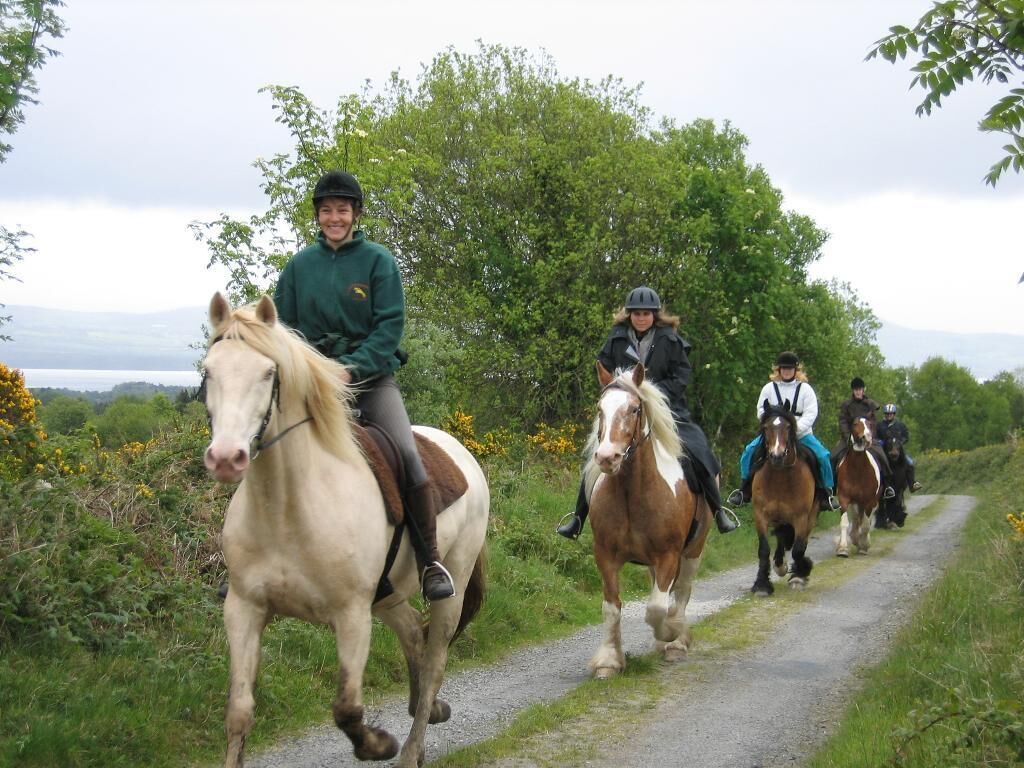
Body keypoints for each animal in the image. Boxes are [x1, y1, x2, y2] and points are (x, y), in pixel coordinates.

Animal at [201, 293, 489, 768]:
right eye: (209, 371)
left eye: (268, 373)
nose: (226, 458)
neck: (288, 508)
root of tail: (462, 454)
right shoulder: (243, 609)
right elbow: (238, 712)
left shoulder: (351, 614)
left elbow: (347, 708)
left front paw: (380, 744)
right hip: (386, 595)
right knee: (413, 631)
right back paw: (423, 711)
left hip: (451, 587)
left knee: (433, 662)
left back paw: (411, 748)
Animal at [585, 363, 712, 679]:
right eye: (600, 409)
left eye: (634, 409)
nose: (607, 457)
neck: (632, 493)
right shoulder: (605, 555)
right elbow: (612, 607)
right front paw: (609, 661)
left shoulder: (669, 555)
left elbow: (656, 607)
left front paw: (671, 633)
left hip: (693, 550)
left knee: (681, 591)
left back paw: (676, 642)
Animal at [749, 400, 818, 595]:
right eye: (766, 427)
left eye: (788, 427)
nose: (777, 456)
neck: (779, 477)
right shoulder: (760, 515)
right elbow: (764, 549)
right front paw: (762, 585)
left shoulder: (801, 517)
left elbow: (798, 550)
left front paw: (799, 574)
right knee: (781, 538)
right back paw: (780, 565)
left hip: (809, 517)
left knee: (800, 543)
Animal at [834, 417, 881, 556]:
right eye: (855, 424)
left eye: (870, 424)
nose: (867, 437)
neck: (857, 469)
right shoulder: (844, 498)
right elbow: (844, 523)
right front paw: (843, 548)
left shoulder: (869, 501)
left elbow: (865, 525)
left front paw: (864, 545)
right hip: (855, 503)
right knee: (855, 519)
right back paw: (854, 538)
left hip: (871, 503)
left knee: (864, 521)